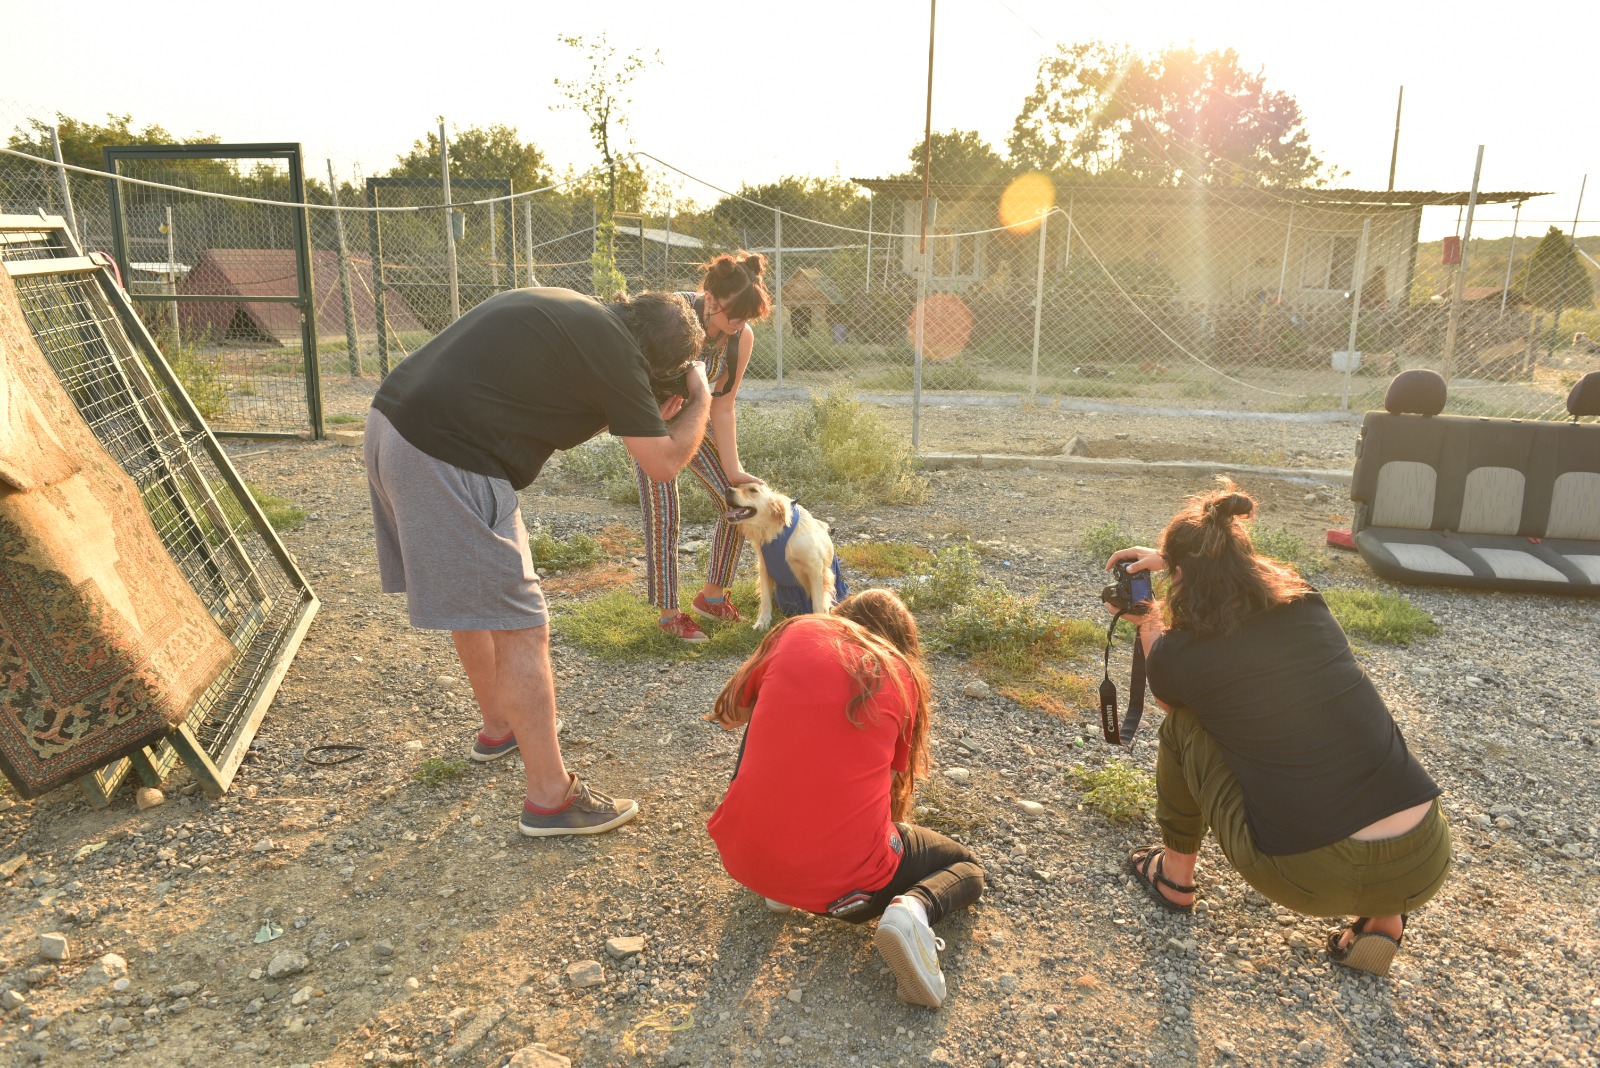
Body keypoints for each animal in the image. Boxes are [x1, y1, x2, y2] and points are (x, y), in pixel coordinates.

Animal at [726, 482, 851, 629]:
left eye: (753, 490)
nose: (727, 490)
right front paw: (763, 621)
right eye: (738, 485)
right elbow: (766, 599)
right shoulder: (764, 568)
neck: (774, 531)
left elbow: (817, 602)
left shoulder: (815, 569)